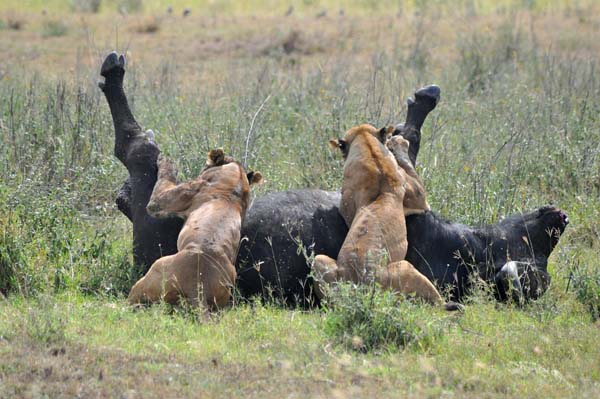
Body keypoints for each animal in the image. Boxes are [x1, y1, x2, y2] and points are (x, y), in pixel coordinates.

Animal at [127, 150, 262, 310]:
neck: (237, 179)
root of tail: (198, 286)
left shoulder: (161, 201)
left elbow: (164, 178)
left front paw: (166, 159)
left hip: (155, 268)